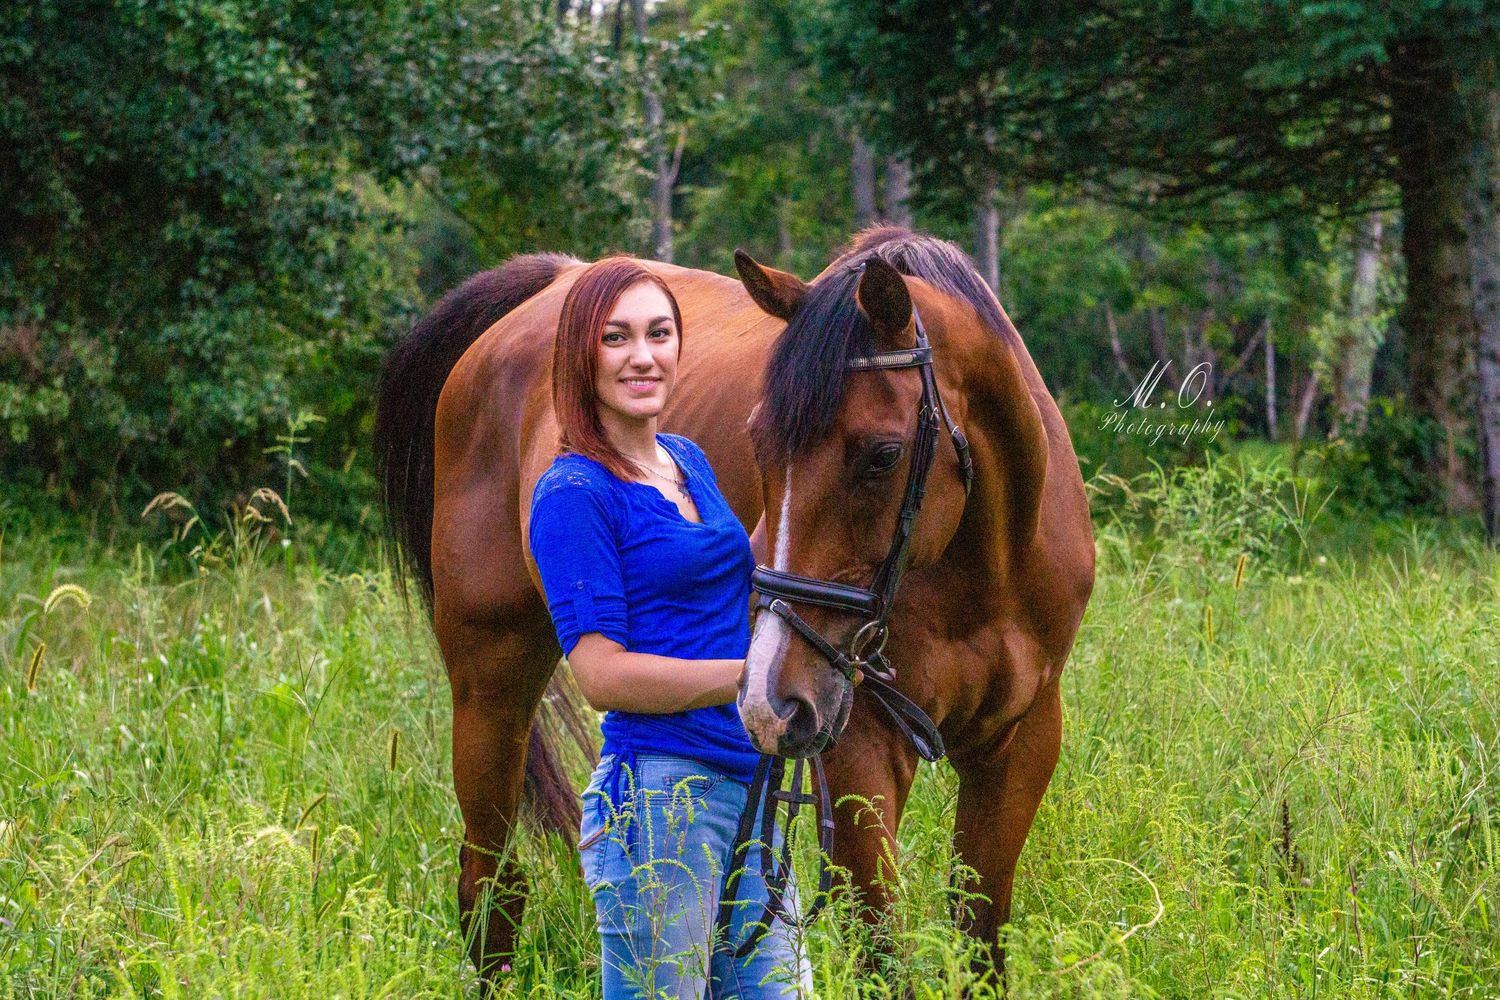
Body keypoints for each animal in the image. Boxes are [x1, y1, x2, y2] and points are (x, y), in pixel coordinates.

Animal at [373, 226, 1095, 983]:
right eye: (758, 444)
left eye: (882, 454)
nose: (772, 701)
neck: (981, 573)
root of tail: (552, 285)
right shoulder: (857, 745)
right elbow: (883, 951)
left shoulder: (1022, 739)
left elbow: (979, 933)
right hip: (492, 680)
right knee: (490, 880)